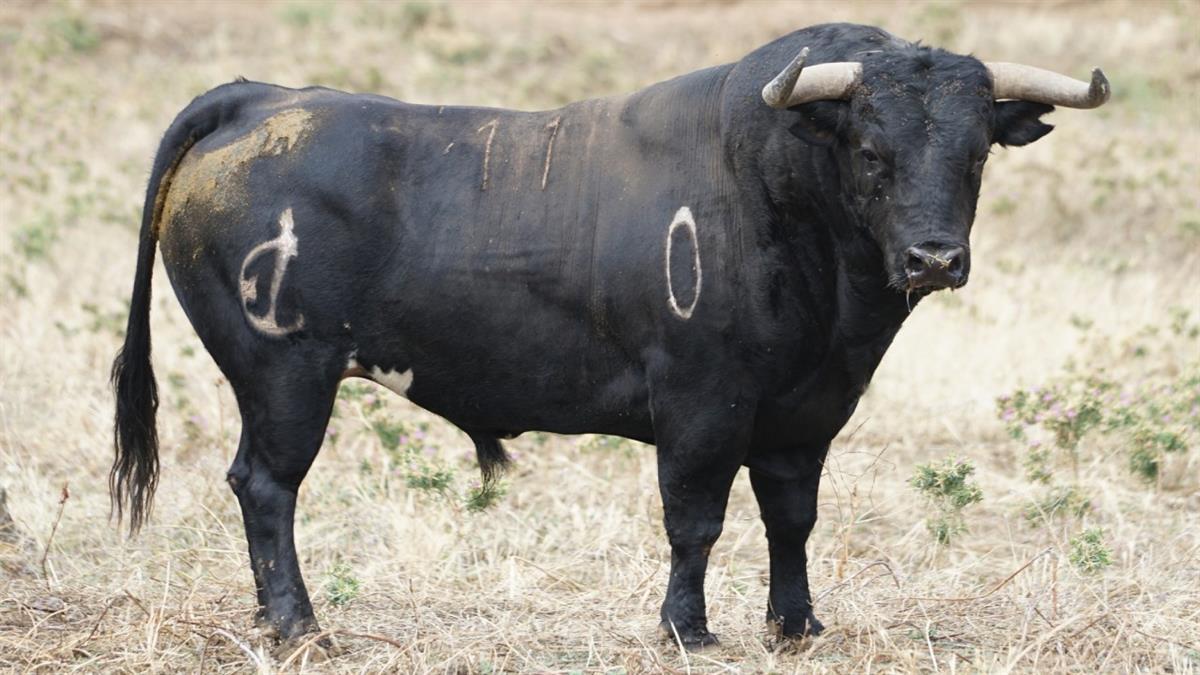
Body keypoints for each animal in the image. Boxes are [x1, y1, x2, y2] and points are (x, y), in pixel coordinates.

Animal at [112, 23, 1104, 643]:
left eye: (975, 154)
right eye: (871, 150)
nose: (934, 258)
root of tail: (257, 99)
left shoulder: (806, 413)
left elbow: (791, 518)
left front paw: (796, 623)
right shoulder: (702, 403)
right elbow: (695, 519)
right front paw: (688, 628)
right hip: (286, 376)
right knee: (266, 486)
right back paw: (297, 624)